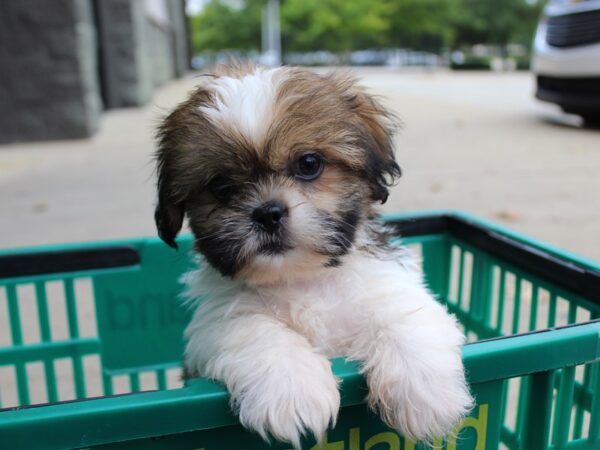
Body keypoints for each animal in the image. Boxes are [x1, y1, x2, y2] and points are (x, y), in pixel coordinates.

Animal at [155, 65, 474, 448]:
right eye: (220, 186)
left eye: (309, 163)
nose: (268, 213)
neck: (302, 277)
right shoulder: (214, 323)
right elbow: (253, 330)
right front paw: (292, 390)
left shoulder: (388, 284)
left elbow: (402, 314)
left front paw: (425, 394)